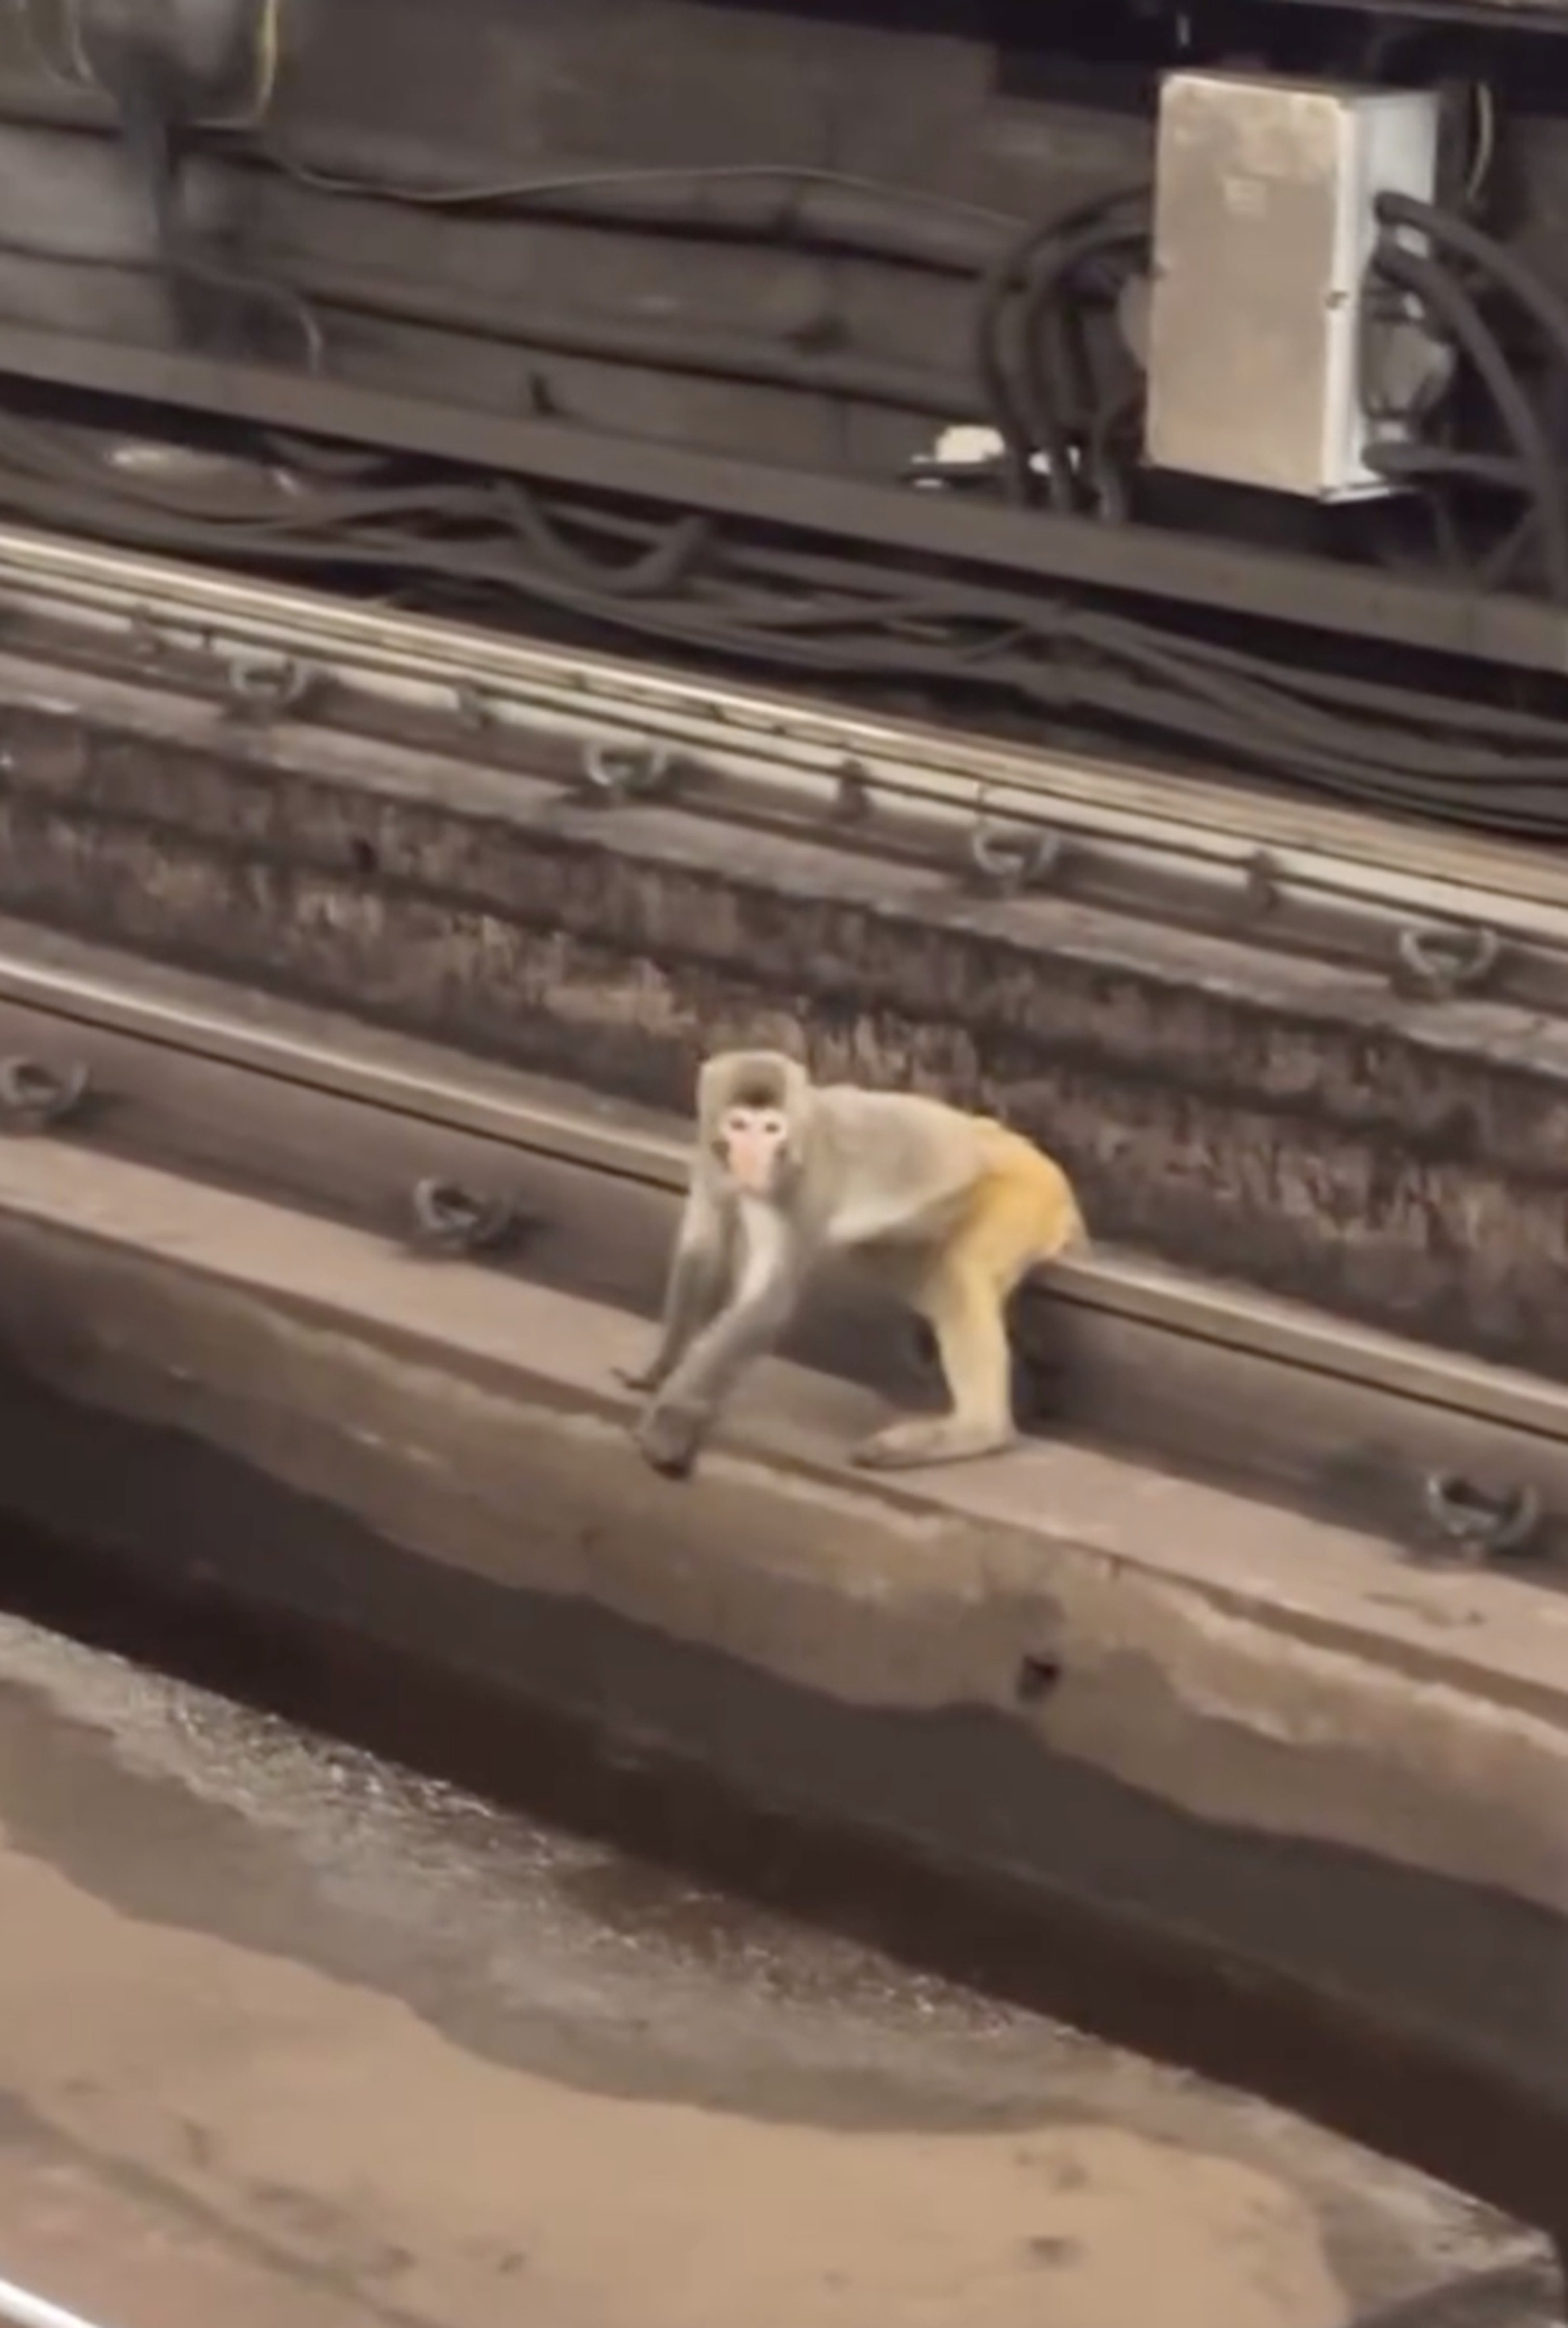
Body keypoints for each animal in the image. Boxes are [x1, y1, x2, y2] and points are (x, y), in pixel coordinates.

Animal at [618, 1049, 1085, 1480]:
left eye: (771, 1130)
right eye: (739, 1126)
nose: (752, 1158)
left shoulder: (802, 1184)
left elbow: (767, 1301)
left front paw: (670, 1424)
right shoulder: (709, 1159)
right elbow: (703, 1252)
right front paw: (659, 1370)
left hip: (1026, 1195)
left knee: (958, 1274)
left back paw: (979, 1430)